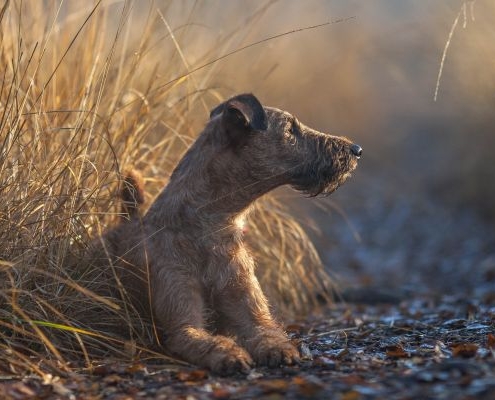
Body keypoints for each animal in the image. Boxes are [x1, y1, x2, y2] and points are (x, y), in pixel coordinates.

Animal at [89, 94, 360, 376]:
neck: (208, 229)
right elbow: (206, 340)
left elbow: (269, 332)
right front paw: (230, 354)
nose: (356, 150)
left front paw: (280, 350)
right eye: (290, 129)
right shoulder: (184, 323)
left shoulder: (251, 308)